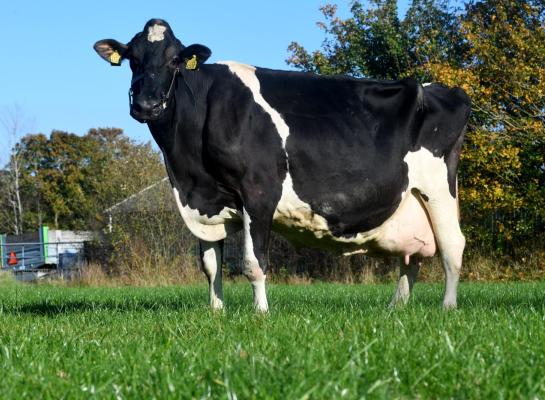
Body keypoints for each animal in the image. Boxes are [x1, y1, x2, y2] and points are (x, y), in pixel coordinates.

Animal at [93, 18, 468, 312]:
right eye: (132, 59)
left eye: (174, 60)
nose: (146, 104)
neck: (187, 171)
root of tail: (440, 89)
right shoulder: (206, 202)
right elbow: (211, 266)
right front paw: (216, 311)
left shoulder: (258, 193)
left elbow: (253, 262)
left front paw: (261, 312)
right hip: (411, 202)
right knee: (411, 258)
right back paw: (395, 308)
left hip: (438, 188)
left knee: (452, 246)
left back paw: (447, 308)